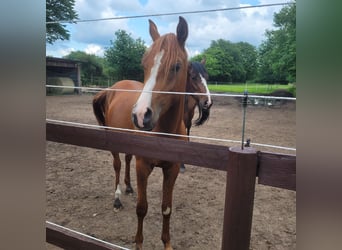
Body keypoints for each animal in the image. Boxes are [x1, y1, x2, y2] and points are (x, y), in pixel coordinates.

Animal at [92, 59, 212, 210]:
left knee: (127, 159)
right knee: (117, 164)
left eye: (207, 77)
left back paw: (129, 187)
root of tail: (110, 90)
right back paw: (117, 199)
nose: (208, 102)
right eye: (193, 77)